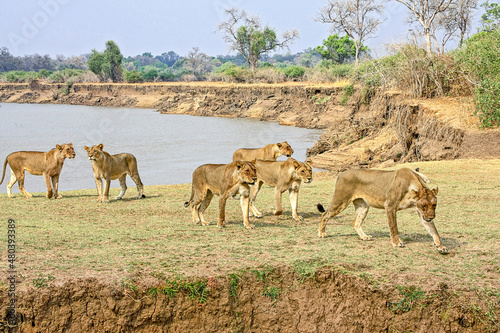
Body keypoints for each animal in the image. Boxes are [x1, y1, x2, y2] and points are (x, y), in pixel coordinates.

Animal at [318, 167, 448, 253]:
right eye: (424, 205)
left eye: (434, 205)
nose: (431, 217)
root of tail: (342, 173)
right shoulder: (390, 206)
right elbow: (394, 227)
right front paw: (397, 243)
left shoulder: (422, 214)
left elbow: (434, 230)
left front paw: (441, 246)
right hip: (340, 201)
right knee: (325, 214)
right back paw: (321, 233)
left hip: (363, 206)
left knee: (356, 223)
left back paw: (364, 237)